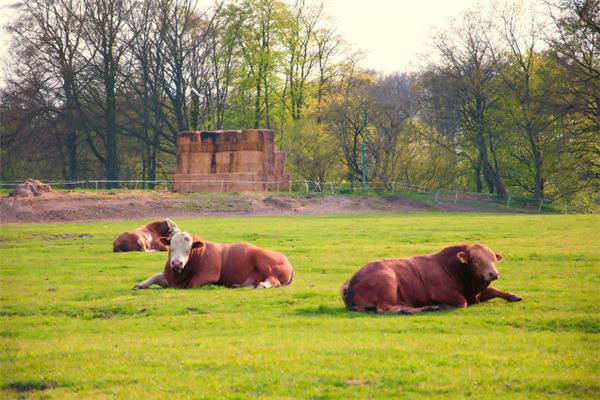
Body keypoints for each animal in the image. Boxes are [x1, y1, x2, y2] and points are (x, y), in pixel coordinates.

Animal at [131, 231, 292, 290]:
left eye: (188, 249)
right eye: (172, 246)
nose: (177, 263)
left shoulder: (207, 276)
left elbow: (191, 284)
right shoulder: (168, 277)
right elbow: (155, 276)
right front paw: (140, 285)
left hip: (263, 261)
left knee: (273, 281)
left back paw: (262, 285)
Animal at [340, 242, 524, 314]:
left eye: (493, 259)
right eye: (476, 261)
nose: (494, 274)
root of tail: (351, 280)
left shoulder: (476, 294)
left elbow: (494, 290)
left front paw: (513, 296)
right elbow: (462, 302)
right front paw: (442, 306)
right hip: (388, 280)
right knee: (384, 308)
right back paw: (422, 308)